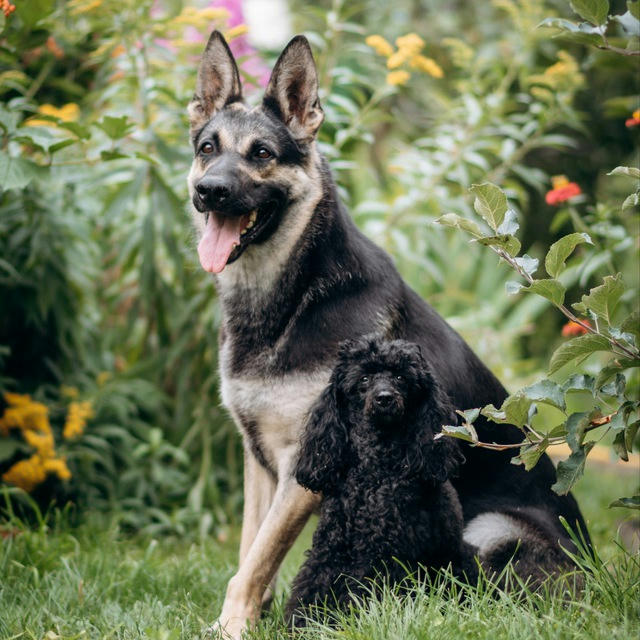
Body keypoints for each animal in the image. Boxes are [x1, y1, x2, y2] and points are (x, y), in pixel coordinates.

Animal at [188, 31, 588, 640]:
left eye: (261, 154)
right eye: (208, 148)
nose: (209, 191)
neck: (292, 299)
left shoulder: (300, 468)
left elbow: (254, 559)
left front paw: (233, 625)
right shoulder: (258, 460)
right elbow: (251, 550)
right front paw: (250, 618)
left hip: (488, 527)